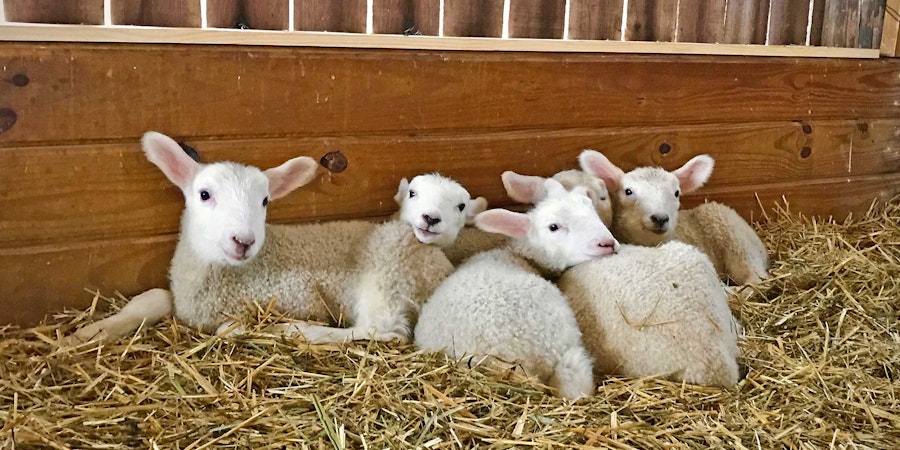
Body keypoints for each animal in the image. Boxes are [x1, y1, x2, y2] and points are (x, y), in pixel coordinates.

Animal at [66, 132, 477, 346]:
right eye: (204, 194)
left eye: (265, 200)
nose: (243, 240)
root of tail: (439, 264)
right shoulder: (182, 298)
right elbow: (151, 298)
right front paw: (86, 333)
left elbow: (230, 328)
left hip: (387, 276)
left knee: (382, 331)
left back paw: (296, 330)